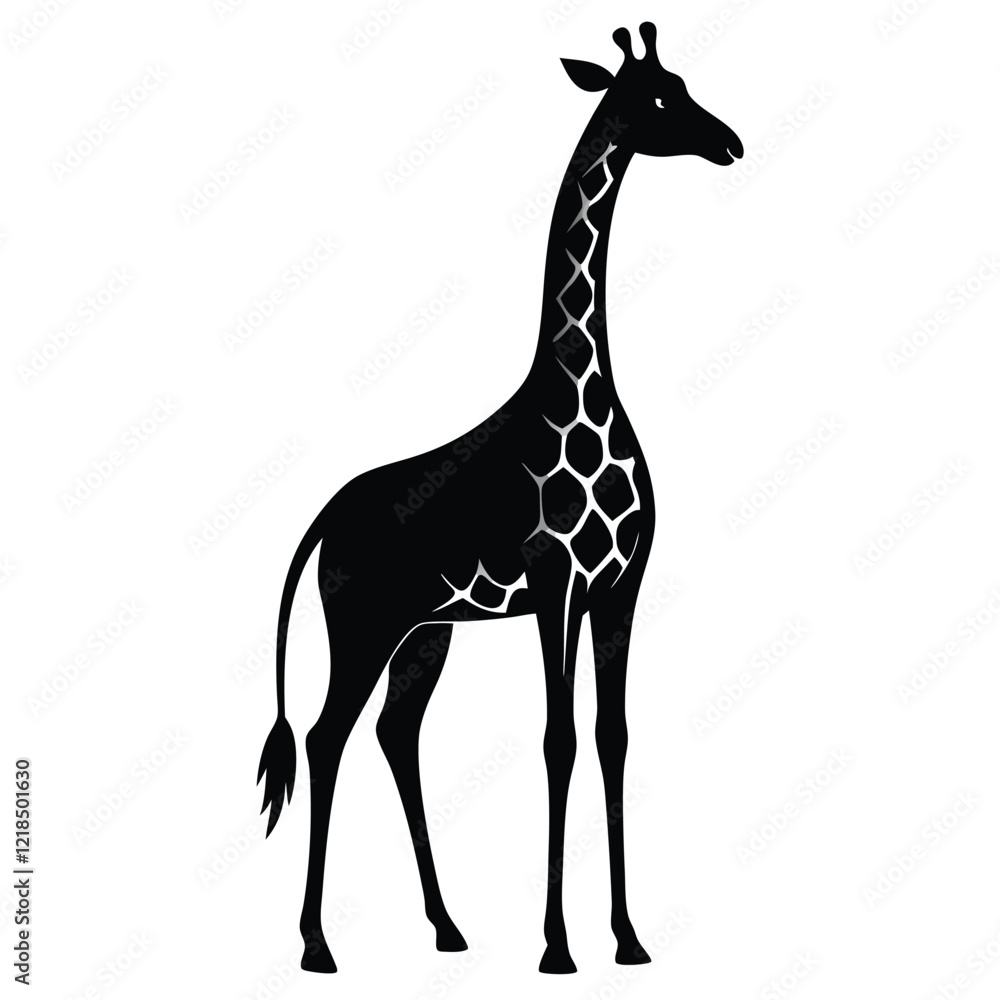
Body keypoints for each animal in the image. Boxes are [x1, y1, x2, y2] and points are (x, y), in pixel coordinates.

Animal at [257, 21, 742, 975]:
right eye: (658, 97)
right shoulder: (556, 581)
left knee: (394, 735)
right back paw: (318, 946)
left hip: (425, 631)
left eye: (684, 84)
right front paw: (557, 947)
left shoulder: (620, 586)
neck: (579, 390)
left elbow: (611, 736)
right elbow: (558, 740)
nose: (731, 143)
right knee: (330, 738)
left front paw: (628, 939)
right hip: (362, 624)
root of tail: (325, 517)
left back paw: (448, 928)